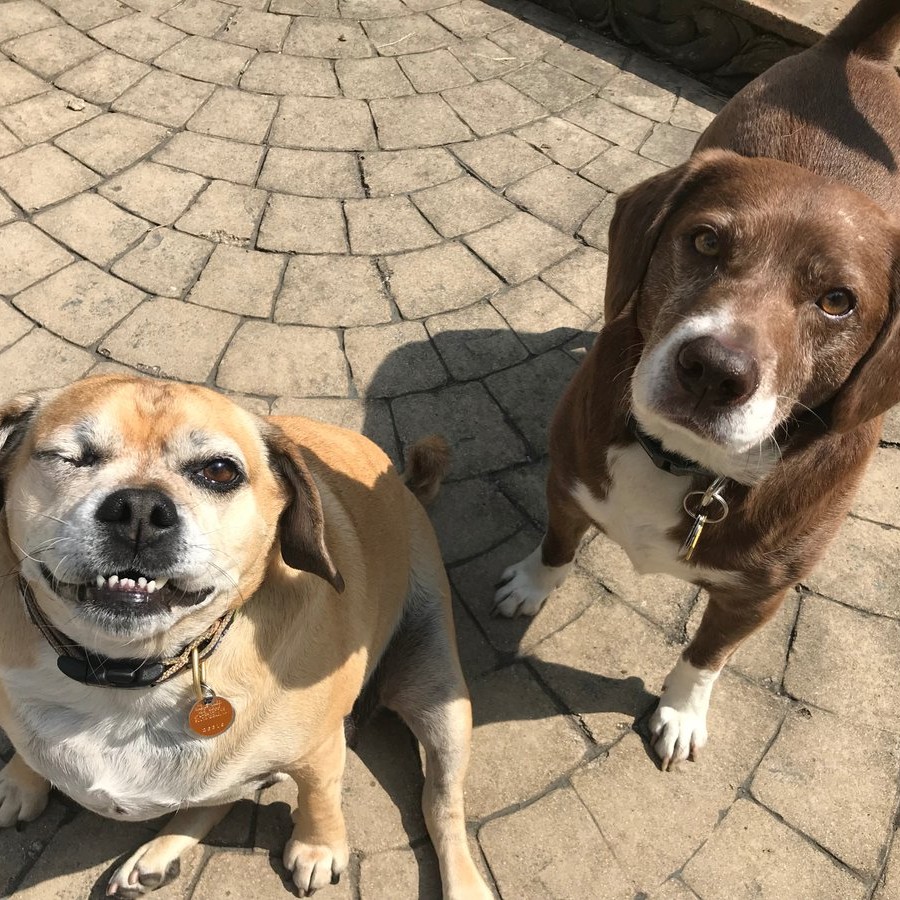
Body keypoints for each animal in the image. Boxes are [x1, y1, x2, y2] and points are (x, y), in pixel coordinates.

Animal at [0, 374, 492, 900]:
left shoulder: (320, 750)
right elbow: (28, 748)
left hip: (439, 700)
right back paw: (154, 858)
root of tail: (403, 484)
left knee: (440, 806)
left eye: (219, 471)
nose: (139, 508)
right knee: (214, 800)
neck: (129, 675)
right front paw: (20, 781)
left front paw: (319, 847)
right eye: (70, 457)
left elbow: (319, 796)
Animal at [492, 1, 900, 772]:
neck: (685, 465)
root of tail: (853, 53)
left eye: (838, 301)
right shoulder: (567, 483)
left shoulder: (758, 595)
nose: (713, 371)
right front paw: (531, 584)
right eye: (706, 240)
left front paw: (680, 711)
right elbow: (556, 546)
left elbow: (707, 656)